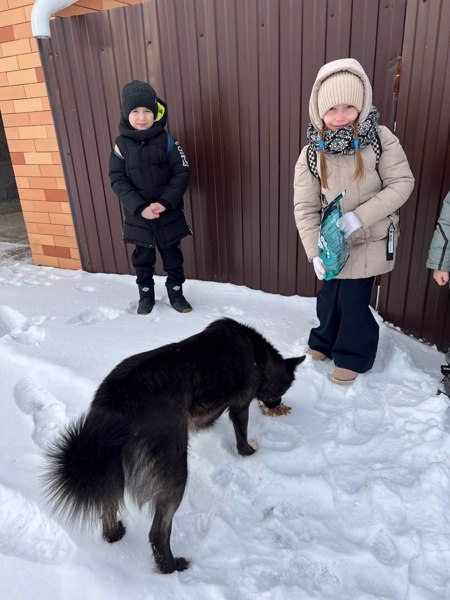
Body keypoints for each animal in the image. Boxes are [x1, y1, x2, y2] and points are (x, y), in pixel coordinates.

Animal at [44, 322, 304, 576]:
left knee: (108, 501)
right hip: (174, 473)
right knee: (157, 533)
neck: (259, 356)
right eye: (284, 389)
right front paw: (251, 453)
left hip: (112, 465)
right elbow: (242, 437)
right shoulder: (240, 407)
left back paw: (113, 534)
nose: (277, 404)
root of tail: (116, 403)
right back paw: (170, 567)